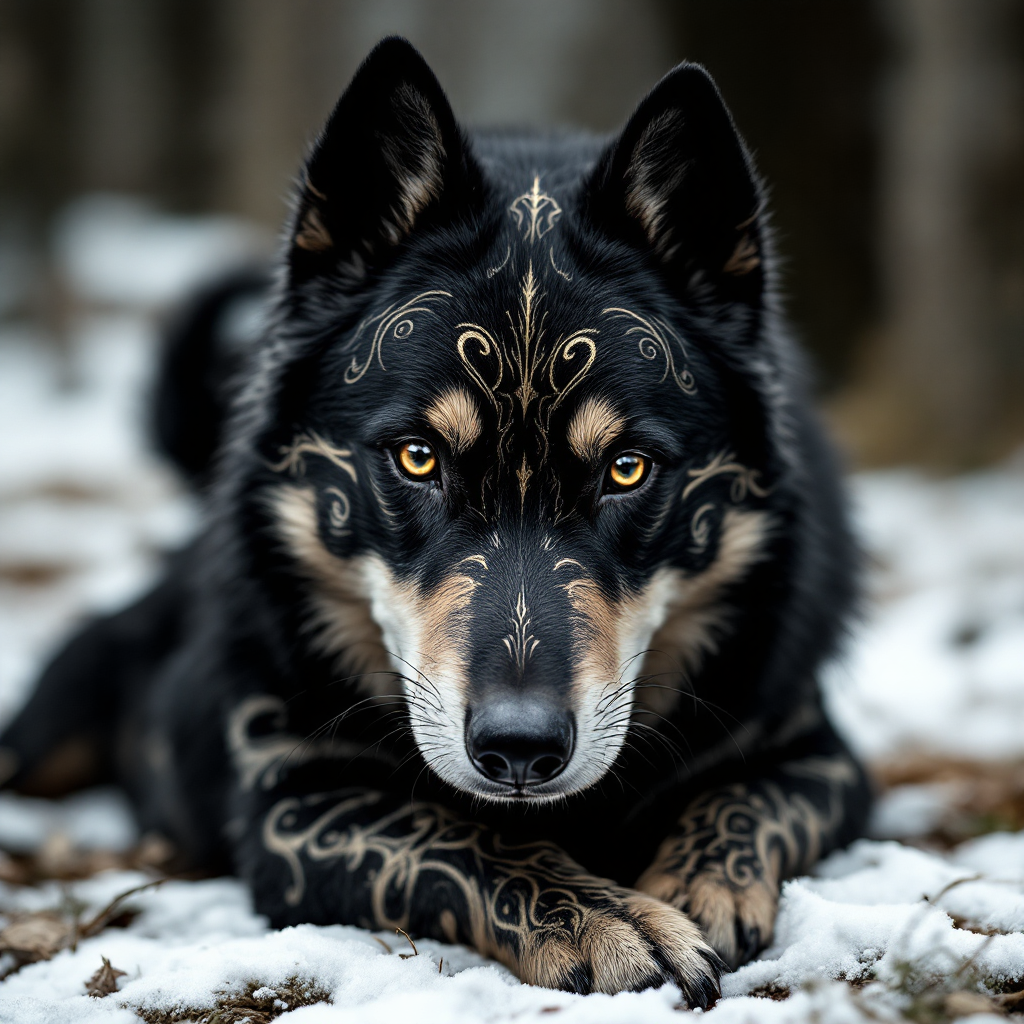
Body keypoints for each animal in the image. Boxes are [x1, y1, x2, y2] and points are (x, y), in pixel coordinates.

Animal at [0, 37, 872, 999]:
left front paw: (692, 886)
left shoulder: (818, 754)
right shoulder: (296, 808)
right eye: (418, 458)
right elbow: (466, 833)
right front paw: (611, 918)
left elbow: (743, 800)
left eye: (626, 469)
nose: (520, 748)